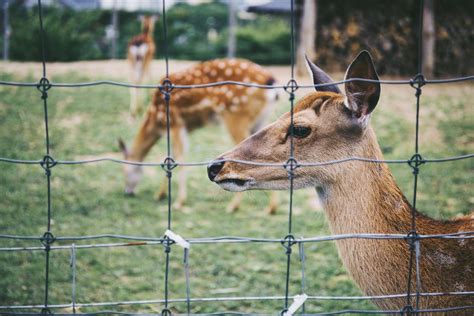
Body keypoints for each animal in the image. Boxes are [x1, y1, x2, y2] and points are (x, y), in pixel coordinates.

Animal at [119, 58, 282, 214]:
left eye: (125, 171)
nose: (127, 192)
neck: (156, 120)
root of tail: (270, 82)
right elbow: (171, 157)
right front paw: (160, 194)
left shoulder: (175, 123)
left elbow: (179, 157)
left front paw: (179, 202)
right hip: (261, 120)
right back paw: (271, 208)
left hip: (236, 115)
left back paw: (233, 206)